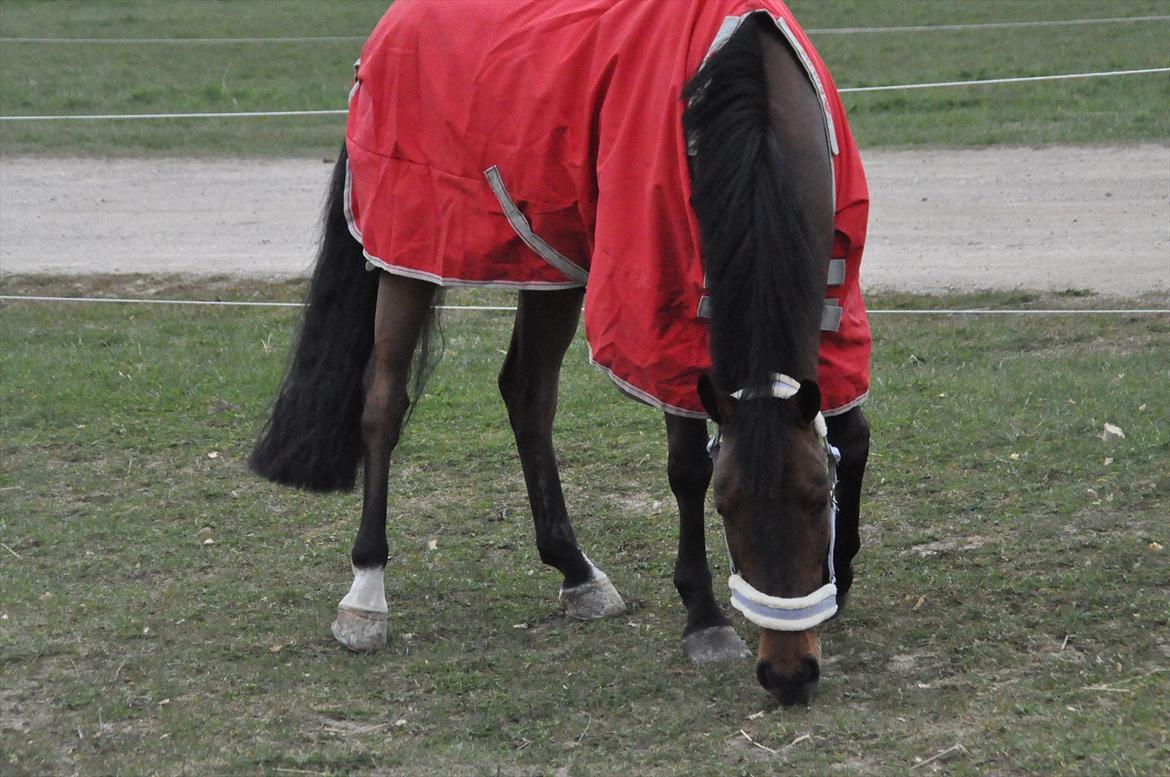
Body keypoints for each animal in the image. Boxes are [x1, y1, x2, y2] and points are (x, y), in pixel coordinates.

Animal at [250, 0, 871, 706]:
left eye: (815, 498)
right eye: (726, 506)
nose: (787, 675)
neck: (756, 99)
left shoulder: (839, 294)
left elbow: (852, 435)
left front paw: (842, 575)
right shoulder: (657, 308)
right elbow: (686, 465)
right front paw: (705, 618)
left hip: (549, 261)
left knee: (527, 392)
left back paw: (576, 570)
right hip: (409, 251)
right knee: (383, 402)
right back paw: (366, 592)